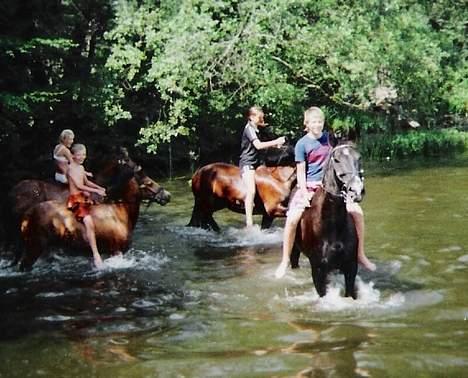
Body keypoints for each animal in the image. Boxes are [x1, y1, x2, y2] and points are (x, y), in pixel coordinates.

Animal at [19, 167, 172, 270]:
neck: (120, 212)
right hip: (35, 247)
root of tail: (29, 213)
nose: (167, 196)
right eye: (149, 183)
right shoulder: (117, 251)